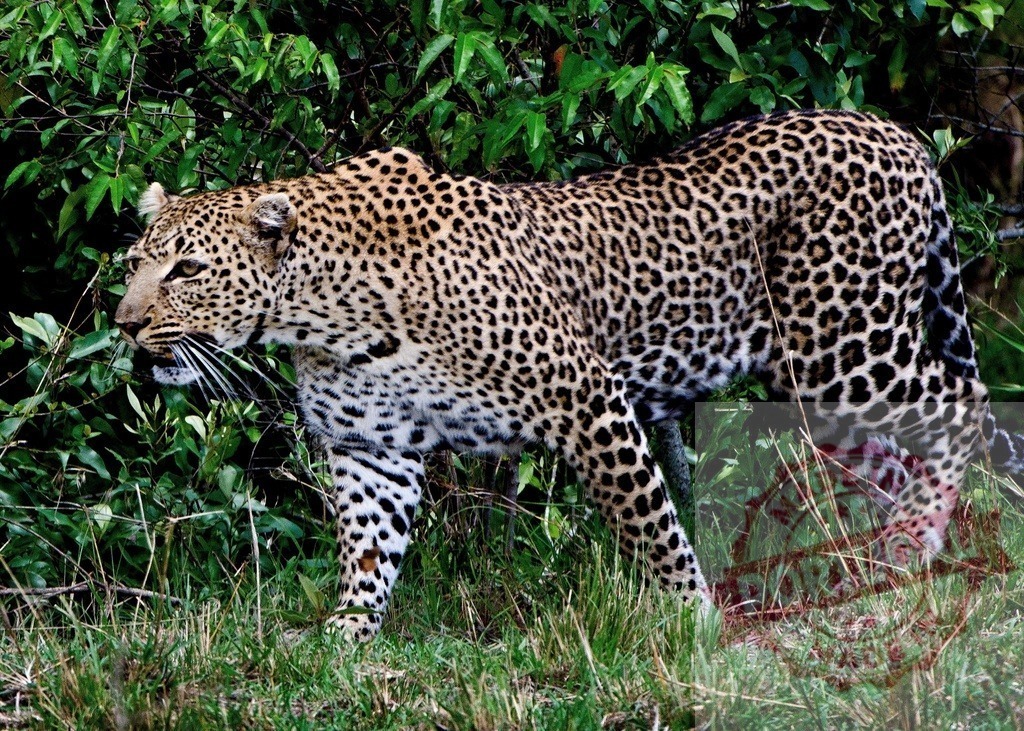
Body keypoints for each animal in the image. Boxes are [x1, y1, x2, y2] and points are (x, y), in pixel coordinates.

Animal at [115, 109, 1024, 641]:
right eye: (134, 263)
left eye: (189, 269)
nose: (124, 324)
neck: (322, 314)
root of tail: (899, 132)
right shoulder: (370, 447)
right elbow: (367, 548)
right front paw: (345, 634)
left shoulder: (589, 399)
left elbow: (650, 524)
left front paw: (693, 618)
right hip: (823, 381)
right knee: (895, 455)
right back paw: (876, 572)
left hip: (845, 344)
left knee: (963, 403)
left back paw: (906, 552)